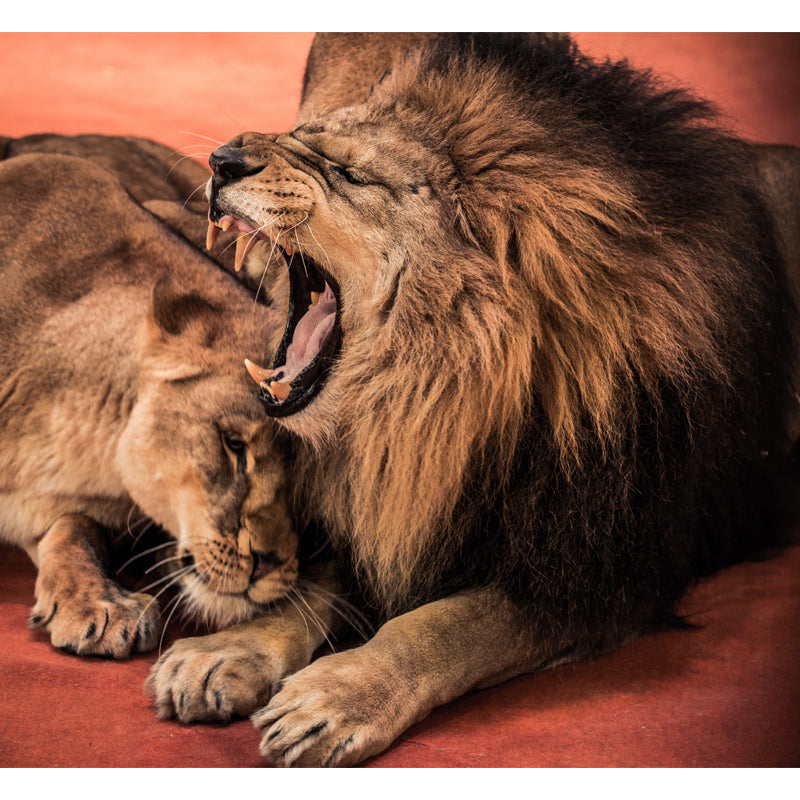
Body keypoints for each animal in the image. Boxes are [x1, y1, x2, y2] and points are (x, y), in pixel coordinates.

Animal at [144, 33, 800, 765]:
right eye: (301, 137)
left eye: (350, 174)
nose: (222, 161)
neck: (439, 399)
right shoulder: (393, 496)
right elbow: (315, 580)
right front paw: (225, 652)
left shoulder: (602, 567)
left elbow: (444, 625)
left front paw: (336, 698)